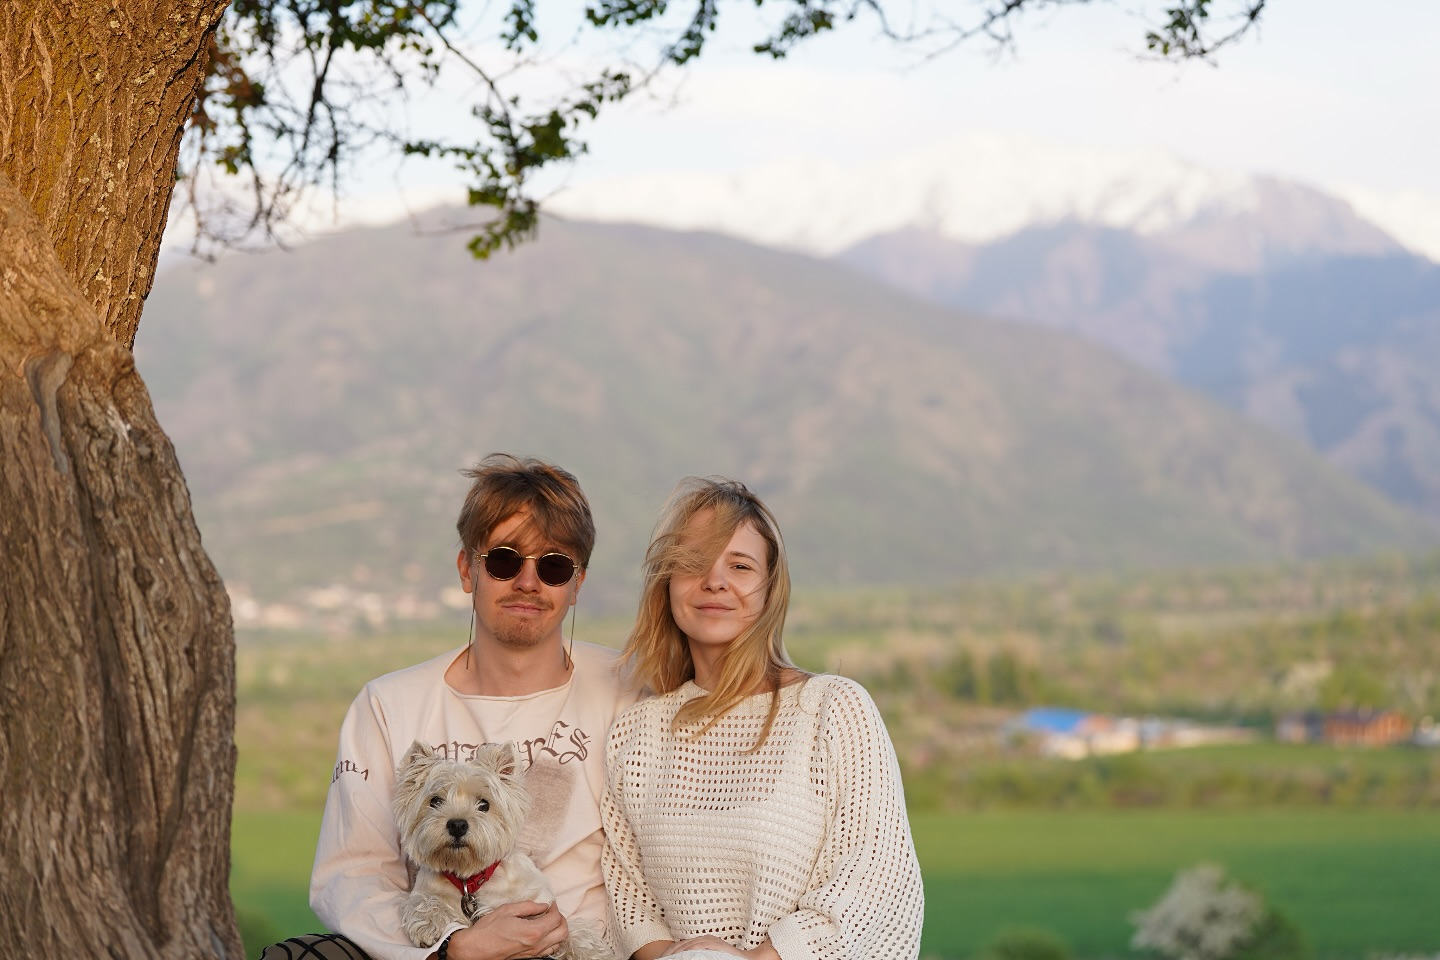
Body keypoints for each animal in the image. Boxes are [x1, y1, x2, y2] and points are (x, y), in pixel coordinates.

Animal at [393, 740, 613, 960]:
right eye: (435, 801)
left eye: (484, 804)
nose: (457, 825)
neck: (469, 879)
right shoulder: (428, 889)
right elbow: (422, 899)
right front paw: (428, 923)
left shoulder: (540, 907)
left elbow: (572, 931)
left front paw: (592, 951)